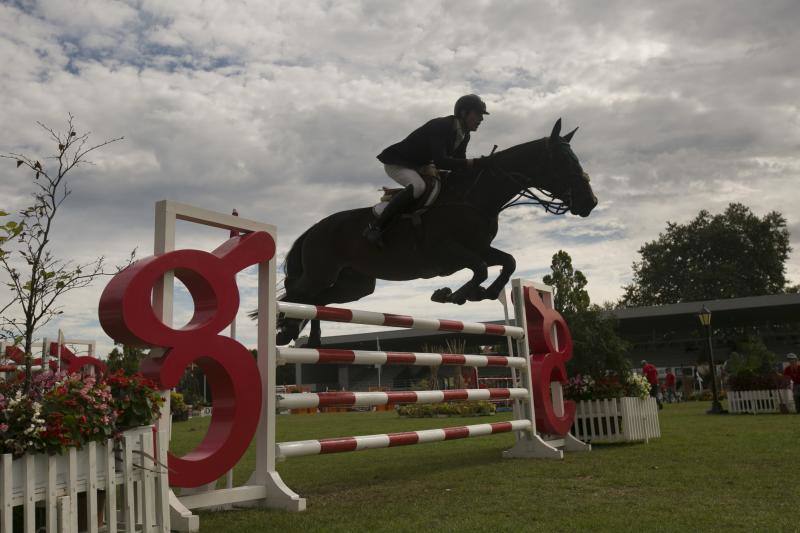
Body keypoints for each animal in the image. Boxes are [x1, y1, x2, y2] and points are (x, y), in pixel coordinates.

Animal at [276, 117, 592, 344]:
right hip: (321, 272)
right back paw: (283, 330)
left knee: (316, 300)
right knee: (294, 294)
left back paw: (307, 337)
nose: (591, 202)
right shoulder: (446, 252)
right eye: (563, 161)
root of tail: (315, 228)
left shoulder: (477, 249)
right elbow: (481, 269)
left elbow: (507, 262)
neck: (475, 197)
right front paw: (453, 295)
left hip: (356, 285)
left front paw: (481, 294)